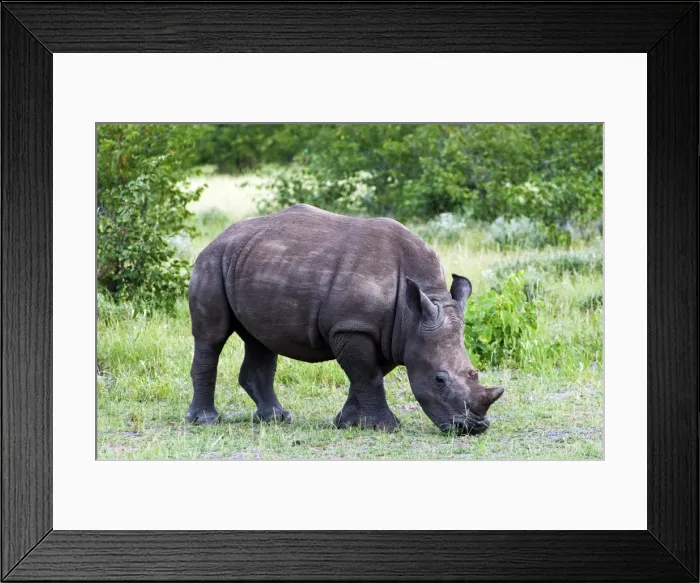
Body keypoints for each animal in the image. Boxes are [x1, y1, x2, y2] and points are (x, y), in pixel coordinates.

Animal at [186, 203, 504, 434]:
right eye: (439, 380)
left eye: (475, 373)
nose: (472, 428)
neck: (412, 314)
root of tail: (220, 235)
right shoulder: (353, 327)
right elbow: (368, 376)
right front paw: (387, 427)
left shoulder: (393, 335)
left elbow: (366, 376)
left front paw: (346, 423)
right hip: (212, 261)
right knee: (211, 337)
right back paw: (205, 421)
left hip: (252, 262)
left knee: (261, 340)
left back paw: (277, 418)